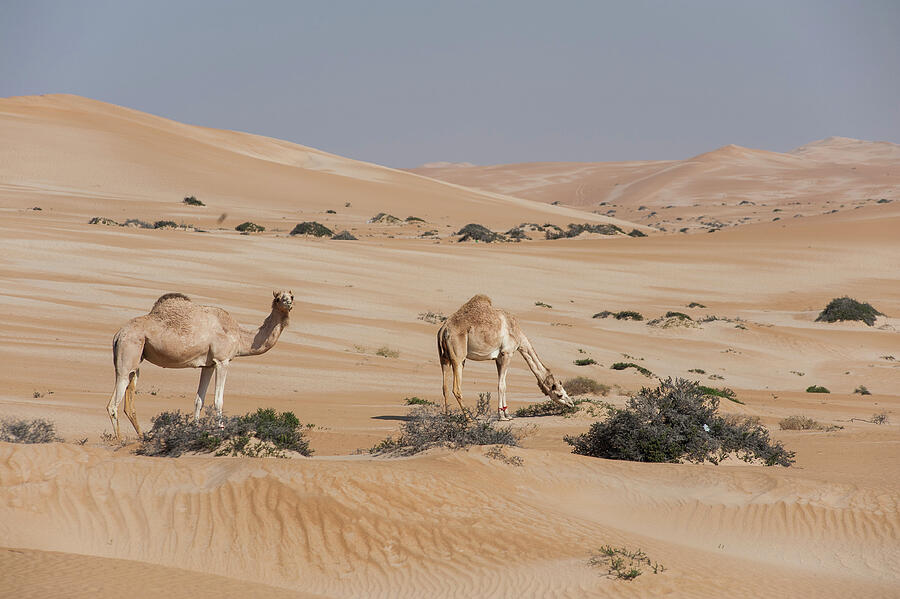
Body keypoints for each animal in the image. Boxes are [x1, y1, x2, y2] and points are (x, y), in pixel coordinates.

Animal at [107, 292, 294, 440]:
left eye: (291, 296)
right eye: (278, 298)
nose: (288, 302)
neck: (240, 336)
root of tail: (117, 335)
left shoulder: (208, 365)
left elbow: (199, 400)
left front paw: (195, 431)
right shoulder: (222, 360)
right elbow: (218, 400)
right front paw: (220, 432)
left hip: (137, 360)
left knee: (129, 402)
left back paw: (141, 437)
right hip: (127, 353)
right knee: (113, 404)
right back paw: (119, 440)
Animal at [440, 296, 572, 422]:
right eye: (559, 394)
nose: (571, 403)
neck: (517, 333)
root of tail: (444, 329)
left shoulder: (498, 358)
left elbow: (503, 384)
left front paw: (507, 413)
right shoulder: (507, 353)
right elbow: (501, 385)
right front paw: (502, 416)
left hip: (444, 358)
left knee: (445, 387)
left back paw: (447, 418)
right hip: (458, 358)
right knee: (456, 389)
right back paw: (469, 419)